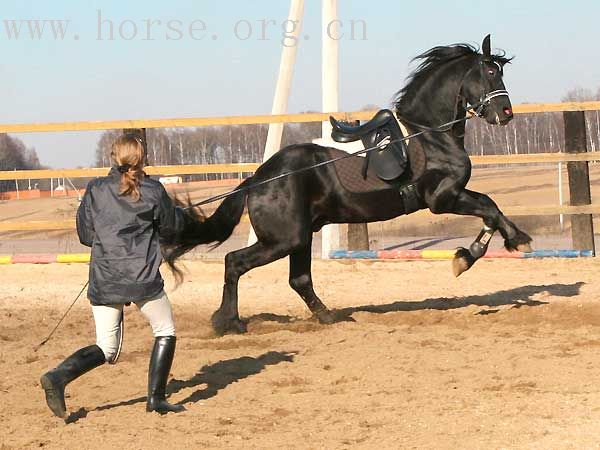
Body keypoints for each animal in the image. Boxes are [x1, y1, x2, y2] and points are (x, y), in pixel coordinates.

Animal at [166, 35, 532, 336]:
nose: (506, 113)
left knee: (298, 279)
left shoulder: (450, 197)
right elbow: (490, 207)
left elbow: (491, 210)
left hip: (300, 237)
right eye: (490, 72)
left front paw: (482, 250)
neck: (427, 134)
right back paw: (228, 322)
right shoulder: (443, 198)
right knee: (235, 262)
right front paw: (497, 247)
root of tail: (258, 179)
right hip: (284, 238)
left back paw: (329, 317)